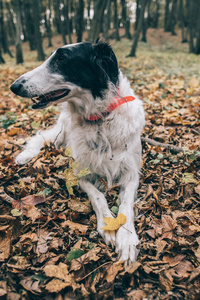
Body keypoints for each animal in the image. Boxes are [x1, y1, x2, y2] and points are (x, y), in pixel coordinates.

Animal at [10, 40, 145, 264]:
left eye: (62, 59)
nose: (14, 86)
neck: (99, 120)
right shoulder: (78, 174)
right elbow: (97, 195)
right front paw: (107, 224)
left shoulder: (132, 172)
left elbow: (126, 205)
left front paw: (126, 239)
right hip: (60, 133)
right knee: (42, 137)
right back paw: (26, 155)